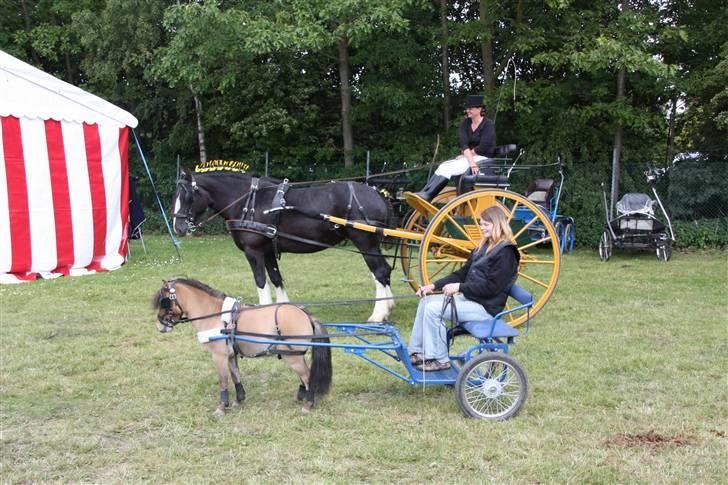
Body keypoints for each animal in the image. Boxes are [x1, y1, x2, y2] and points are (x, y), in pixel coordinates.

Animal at [154, 278, 336, 414]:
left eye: (164, 302)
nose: (159, 325)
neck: (216, 315)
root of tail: (306, 315)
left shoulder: (218, 356)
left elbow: (223, 380)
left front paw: (222, 406)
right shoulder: (230, 355)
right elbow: (235, 376)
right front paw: (238, 400)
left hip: (292, 357)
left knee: (307, 376)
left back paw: (308, 404)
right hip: (295, 355)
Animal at [171, 168, 396, 324]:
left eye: (187, 196)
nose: (179, 228)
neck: (249, 202)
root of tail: (378, 194)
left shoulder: (254, 252)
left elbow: (261, 281)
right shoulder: (268, 251)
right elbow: (276, 278)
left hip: (365, 242)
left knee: (379, 271)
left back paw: (378, 314)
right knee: (384, 270)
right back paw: (389, 305)